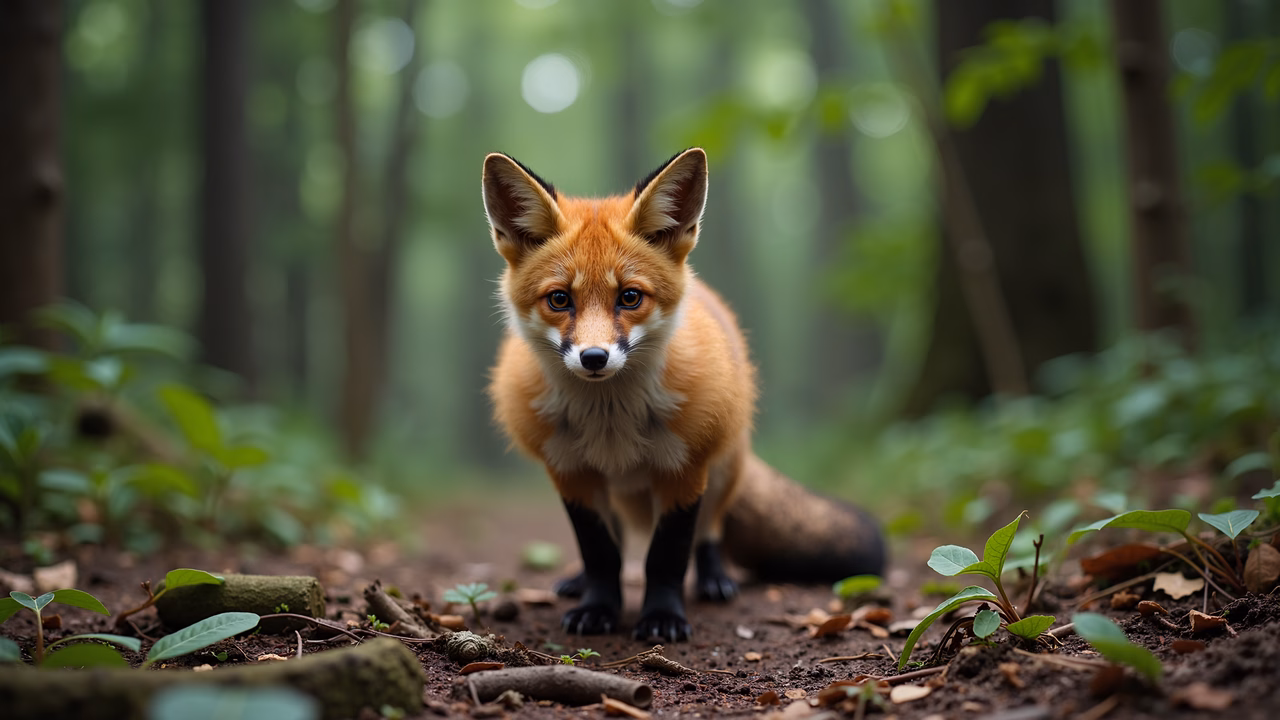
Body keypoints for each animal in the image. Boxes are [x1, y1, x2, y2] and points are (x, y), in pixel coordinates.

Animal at [483, 147, 885, 642]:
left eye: (630, 297)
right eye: (560, 299)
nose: (594, 357)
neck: (611, 421)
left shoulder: (684, 469)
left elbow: (667, 556)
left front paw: (662, 618)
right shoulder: (571, 473)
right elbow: (601, 553)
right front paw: (598, 608)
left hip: (723, 468)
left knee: (711, 532)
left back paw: (715, 580)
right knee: (619, 538)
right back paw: (578, 582)